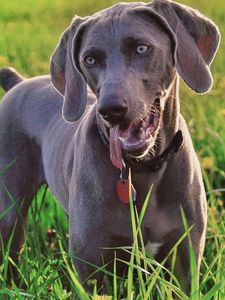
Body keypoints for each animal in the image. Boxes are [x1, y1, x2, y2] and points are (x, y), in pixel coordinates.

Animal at [0, 0, 220, 292]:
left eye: (141, 48)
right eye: (90, 59)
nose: (111, 109)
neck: (142, 169)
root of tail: (19, 82)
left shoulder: (184, 259)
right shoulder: (94, 266)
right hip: (9, 210)